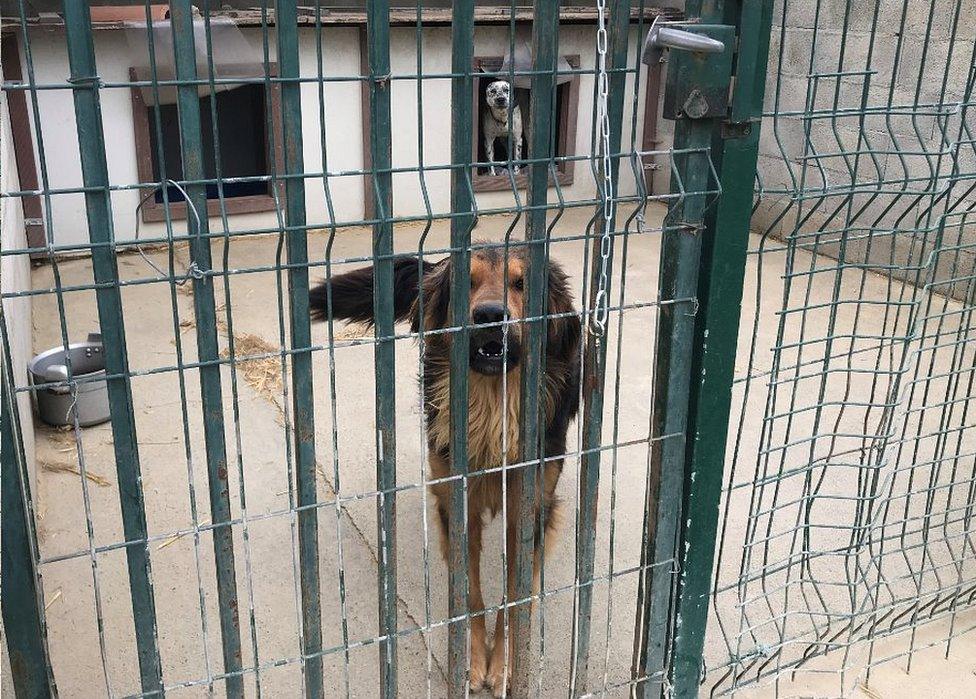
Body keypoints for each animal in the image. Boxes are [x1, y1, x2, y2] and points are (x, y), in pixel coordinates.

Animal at [308, 243, 580, 692]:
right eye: (465, 282)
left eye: (521, 283)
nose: (490, 315)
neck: (492, 406)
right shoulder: (456, 501)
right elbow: (468, 590)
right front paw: (470, 659)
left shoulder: (531, 506)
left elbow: (514, 593)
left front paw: (503, 664)